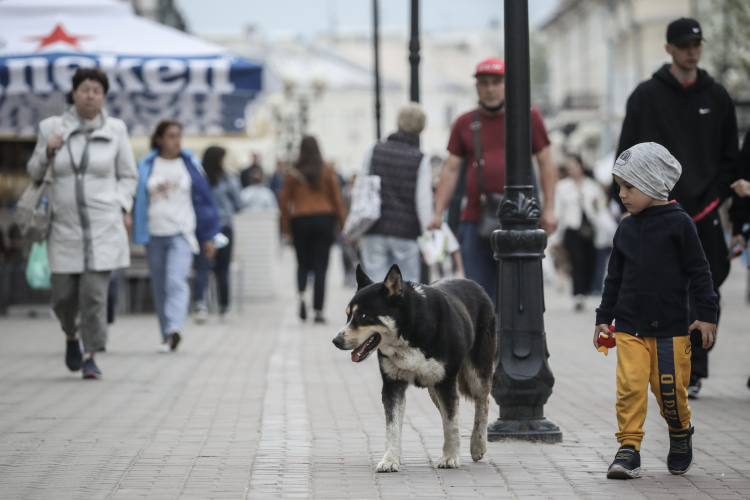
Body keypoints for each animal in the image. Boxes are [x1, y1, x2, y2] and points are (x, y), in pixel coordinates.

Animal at [332, 266, 496, 472]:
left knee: (483, 400)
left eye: (362, 316)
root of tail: (474, 284)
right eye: (348, 315)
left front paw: (450, 457)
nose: (336, 341)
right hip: (434, 388)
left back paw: (477, 444)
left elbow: (451, 424)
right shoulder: (393, 385)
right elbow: (393, 427)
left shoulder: (446, 382)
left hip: (476, 373)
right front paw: (390, 460)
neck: (409, 330)